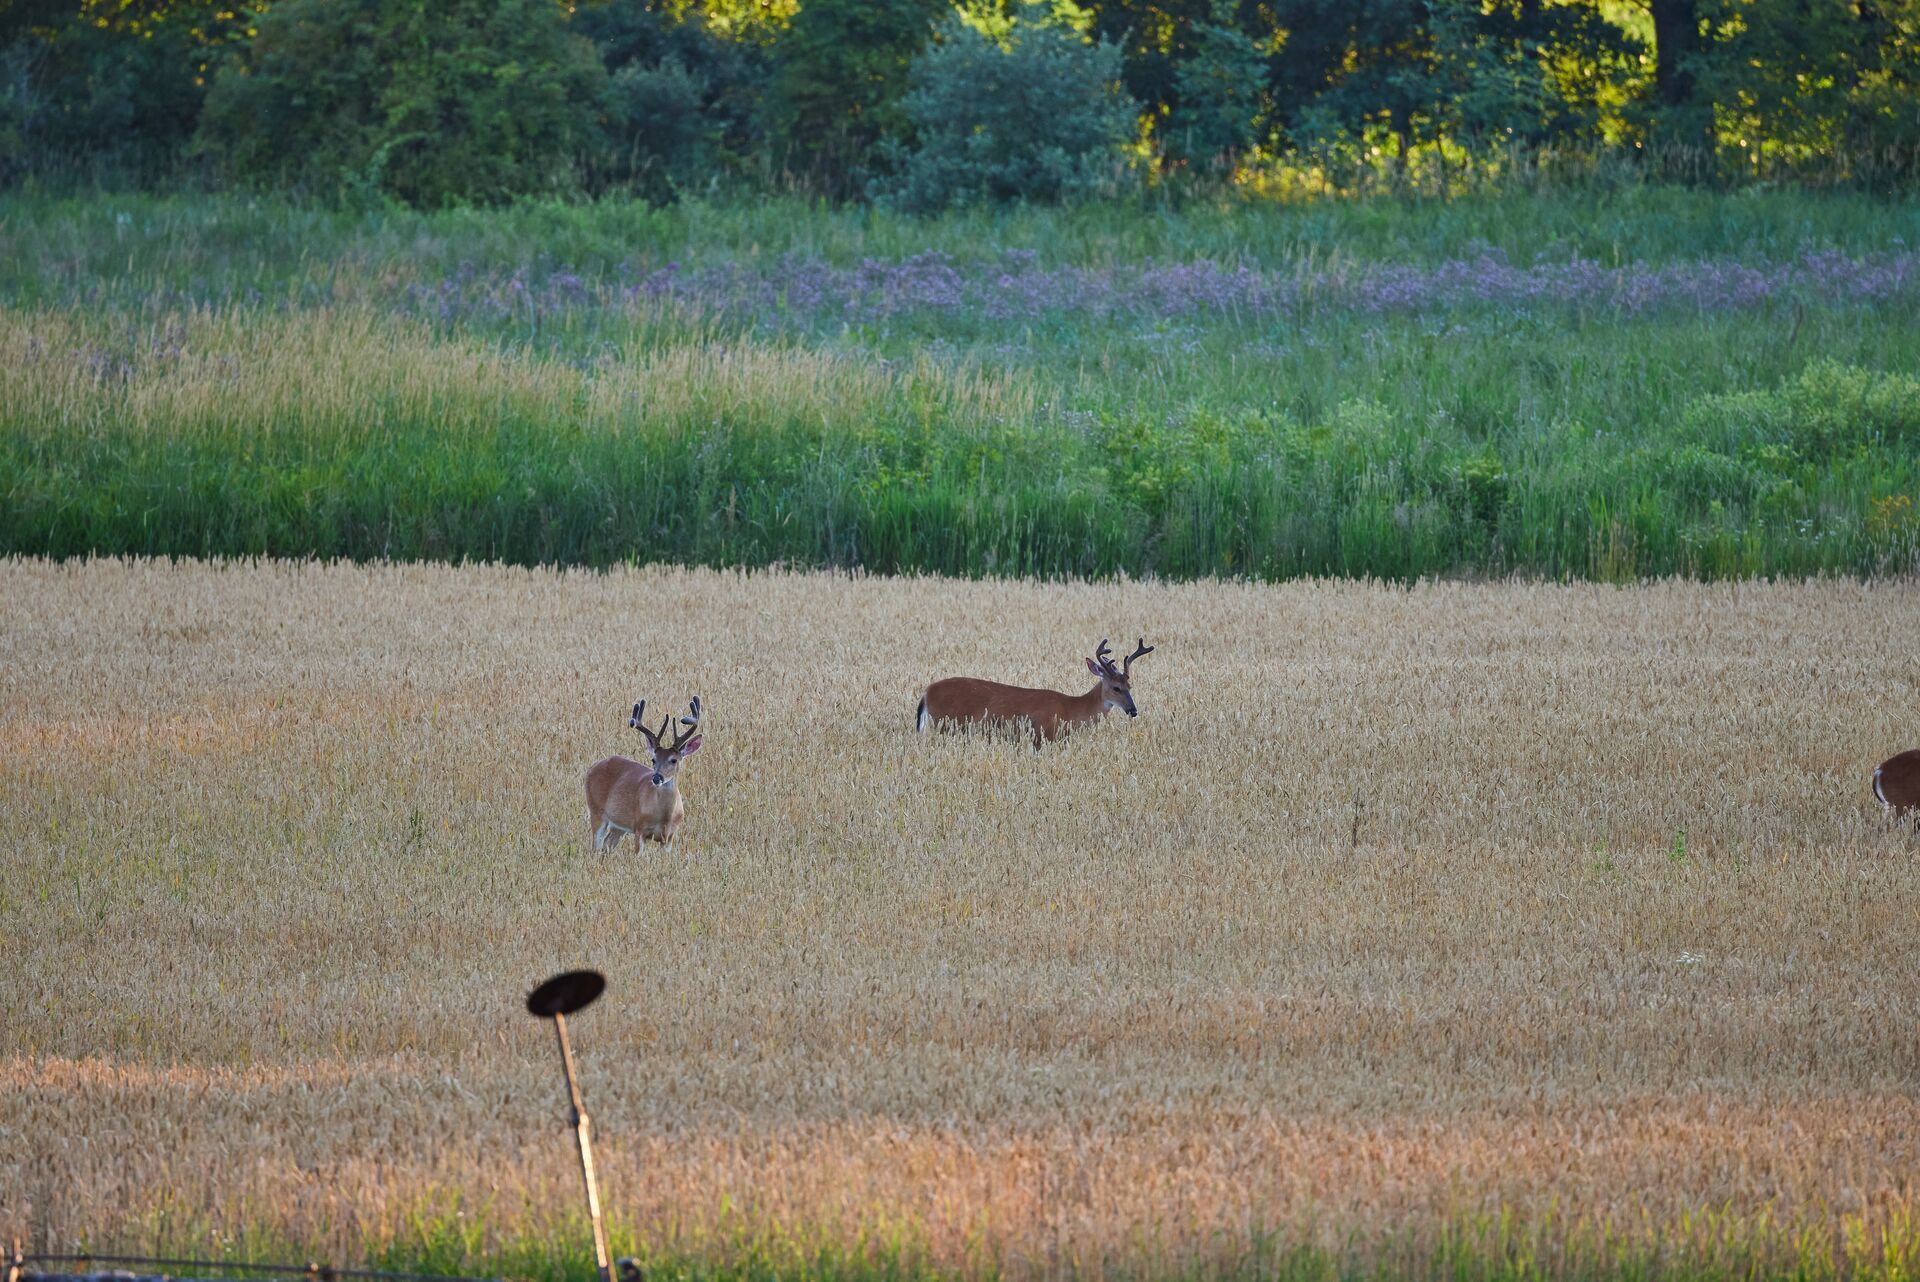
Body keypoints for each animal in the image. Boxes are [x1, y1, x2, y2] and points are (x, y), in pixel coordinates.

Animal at [585, 696, 702, 852]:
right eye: (653, 759)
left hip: (618, 825)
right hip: (596, 810)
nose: (657, 778)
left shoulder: (669, 837)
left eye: (674, 760)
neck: (664, 818)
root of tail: (592, 767)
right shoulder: (639, 828)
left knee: (607, 844)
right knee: (596, 847)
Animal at [916, 637, 1154, 747]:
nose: (1133, 710)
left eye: (1130, 686)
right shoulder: (1042, 735)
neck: (1072, 710)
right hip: (945, 724)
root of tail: (926, 693)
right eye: (1116, 688)